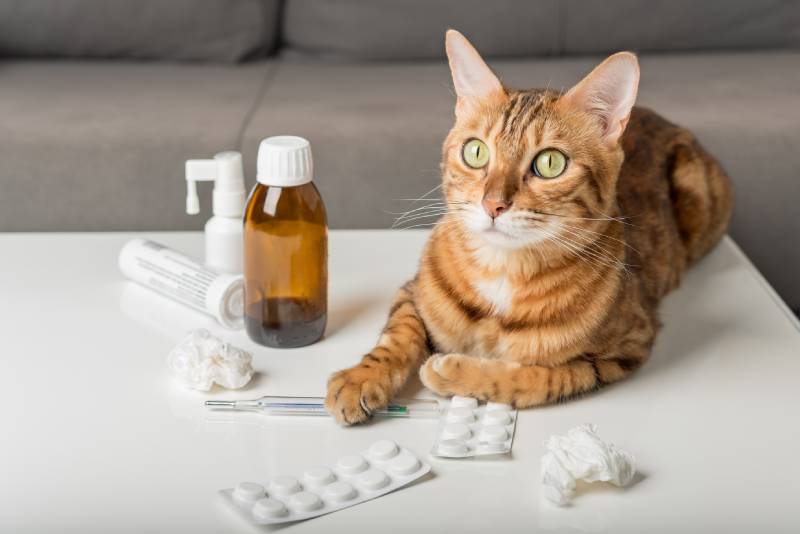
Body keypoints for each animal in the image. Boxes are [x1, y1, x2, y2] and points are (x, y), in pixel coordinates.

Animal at [324, 29, 732, 426]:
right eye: (475, 152)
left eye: (550, 163)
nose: (493, 204)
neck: (503, 270)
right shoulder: (412, 293)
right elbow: (398, 336)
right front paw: (360, 379)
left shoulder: (623, 349)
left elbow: (540, 377)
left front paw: (455, 371)